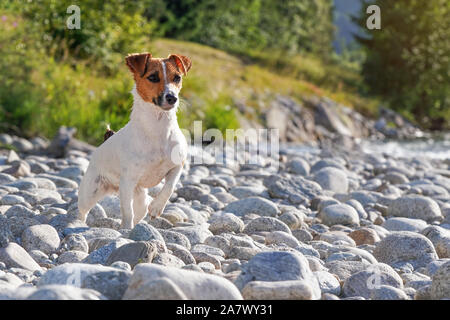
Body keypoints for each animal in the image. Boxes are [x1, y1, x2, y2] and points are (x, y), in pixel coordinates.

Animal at [77, 52, 190, 229]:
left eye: (177, 78)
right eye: (153, 77)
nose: (172, 98)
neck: (158, 129)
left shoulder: (177, 166)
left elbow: (169, 187)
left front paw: (156, 207)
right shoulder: (127, 181)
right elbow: (127, 211)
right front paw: (126, 230)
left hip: (139, 193)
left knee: (141, 210)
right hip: (90, 192)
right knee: (83, 210)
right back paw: (79, 222)